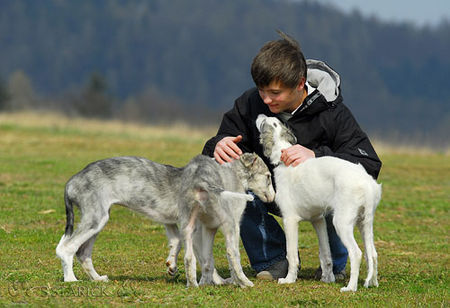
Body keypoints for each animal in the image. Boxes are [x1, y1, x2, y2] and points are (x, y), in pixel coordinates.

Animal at [56, 153, 274, 288]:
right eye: (268, 176)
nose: (273, 199)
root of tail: (71, 182)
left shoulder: (184, 225)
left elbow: (186, 248)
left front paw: (174, 266)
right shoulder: (199, 228)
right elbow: (205, 257)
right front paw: (220, 281)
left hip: (98, 220)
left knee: (83, 253)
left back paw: (98, 278)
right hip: (95, 219)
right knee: (66, 248)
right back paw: (71, 279)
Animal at [256, 114, 380, 292]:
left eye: (264, 123)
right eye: (275, 122)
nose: (260, 115)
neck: (284, 157)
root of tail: (367, 183)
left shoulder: (290, 219)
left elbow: (291, 254)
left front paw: (289, 280)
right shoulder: (318, 219)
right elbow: (325, 253)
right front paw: (327, 279)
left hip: (341, 222)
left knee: (356, 253)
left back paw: (350, 287)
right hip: (365, 223)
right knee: (373, 254)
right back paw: (373, 283)